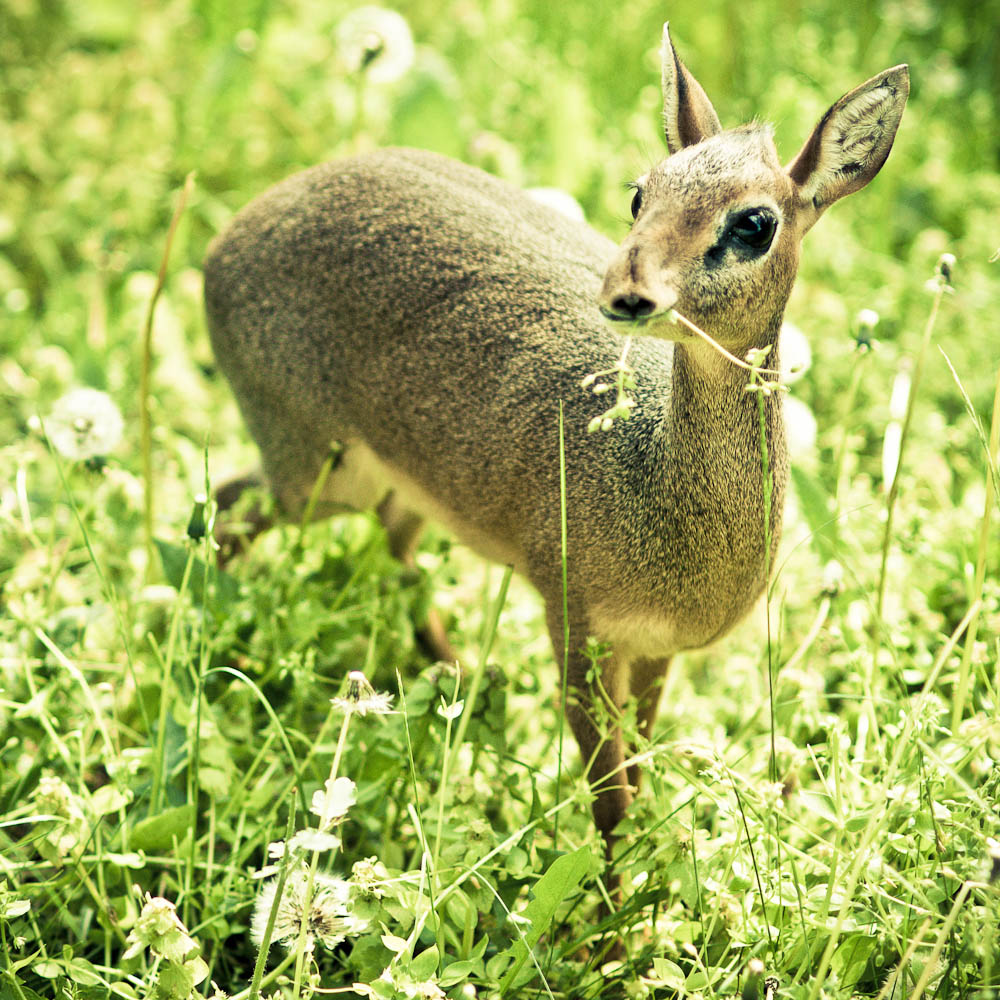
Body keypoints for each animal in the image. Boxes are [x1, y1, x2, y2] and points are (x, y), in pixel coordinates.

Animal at [203, 27, 908, 860]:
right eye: (640, 193)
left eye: (755, 223)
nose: (628, 293)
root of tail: (225, 242)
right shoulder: (575, 623)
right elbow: (611, 804)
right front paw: (609, 900)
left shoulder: (654, 650)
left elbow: (637, 773)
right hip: (316, 472)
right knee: (228, 506)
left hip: (390, 483)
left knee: (392, 549)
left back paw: (470, 687)